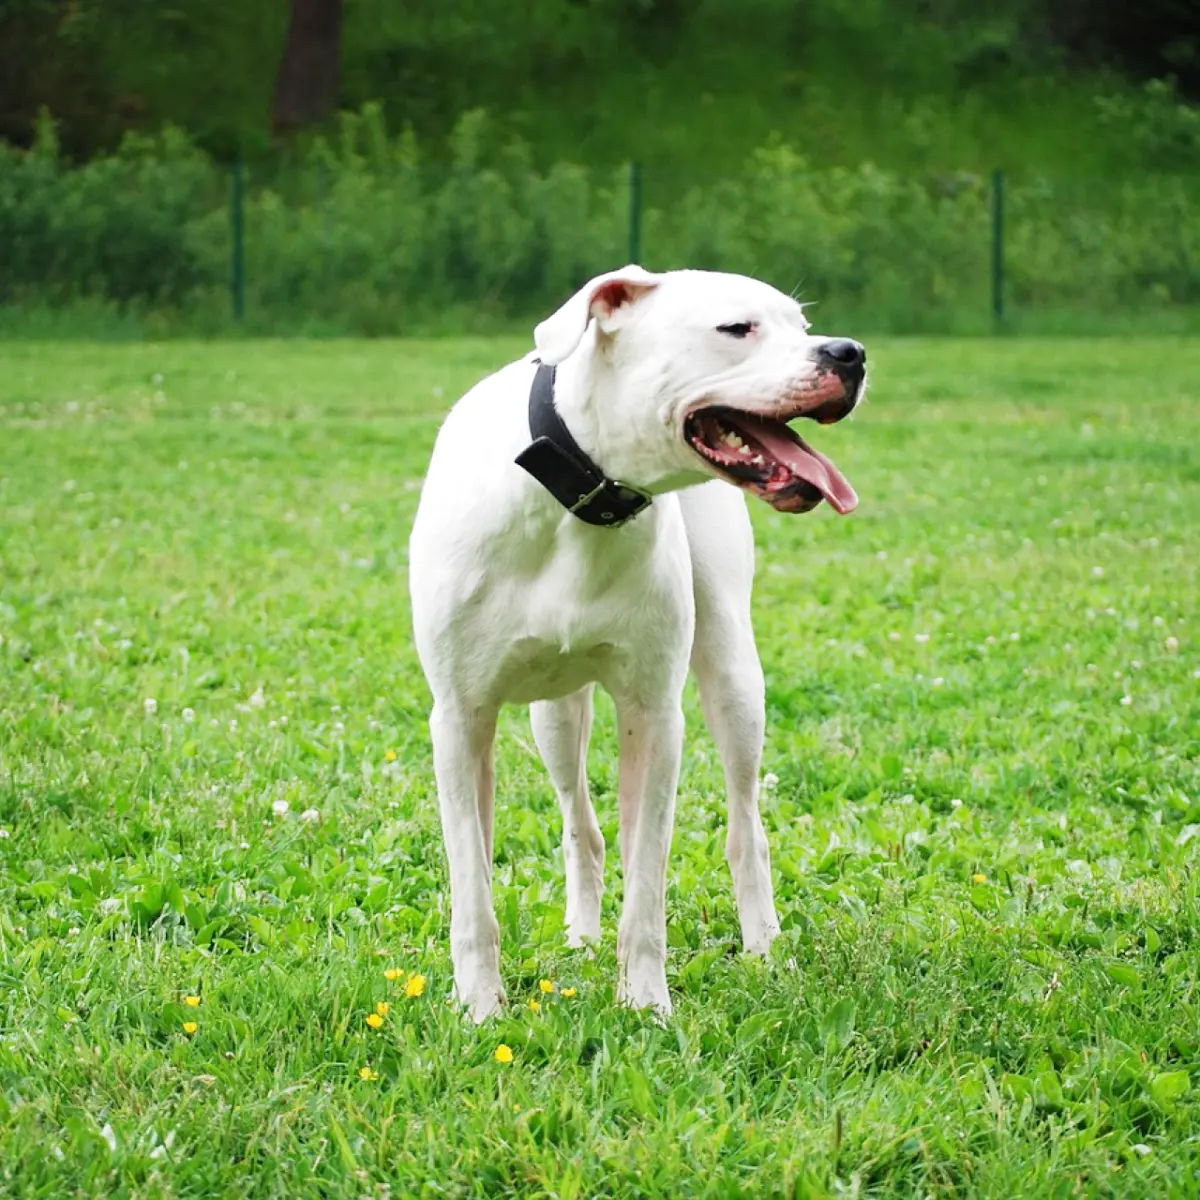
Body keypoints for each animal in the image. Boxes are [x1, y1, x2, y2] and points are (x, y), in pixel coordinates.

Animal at [410, 267, 864, 1017]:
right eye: (736, 328)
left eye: (801, 325)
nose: (849, 353)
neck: (579, 498)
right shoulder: (460, 721)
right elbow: (472, 889)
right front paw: (479, 1010)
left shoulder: (654, 717)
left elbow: (647, 884)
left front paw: (646, 1004)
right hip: (553, 718)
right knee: (583, 829)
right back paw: (581, 940)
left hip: (734, 677)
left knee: (745, 828)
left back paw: (764, 948)